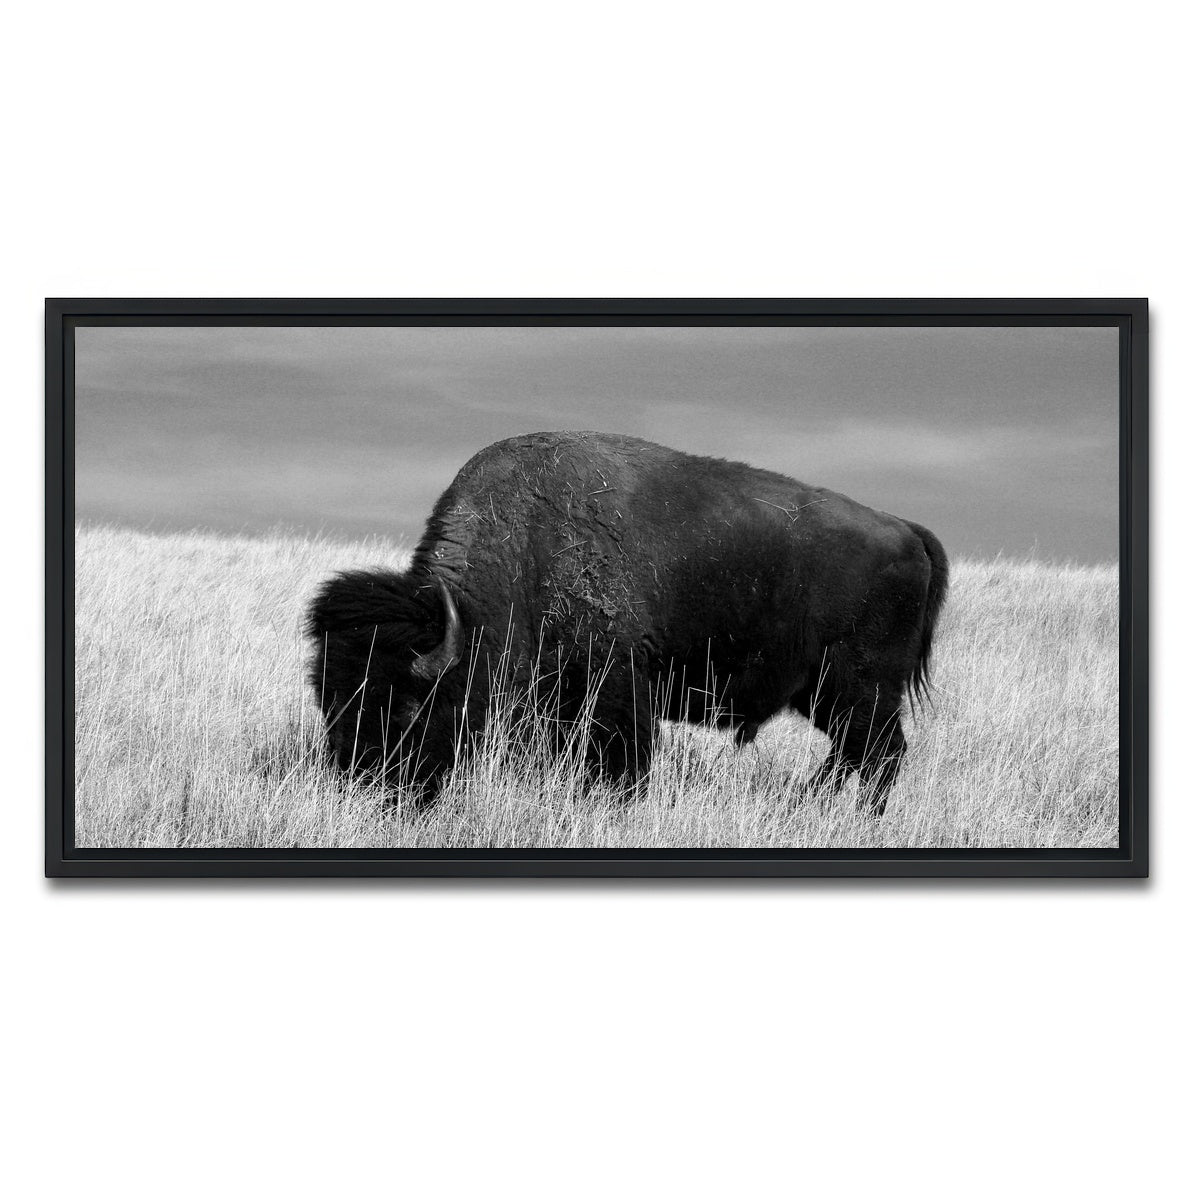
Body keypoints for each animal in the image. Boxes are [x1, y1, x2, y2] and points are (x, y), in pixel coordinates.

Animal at [306, 431, 948, 815]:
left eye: (408, 706)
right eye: (329, 701)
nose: (363, 787)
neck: (524, 552)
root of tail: (906, 530)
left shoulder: (616, 683)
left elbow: (623, 758)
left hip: (860, 687)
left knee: (879, 753)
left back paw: (853, 815)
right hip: (824, 694)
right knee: (854, 752)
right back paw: (810, 804)